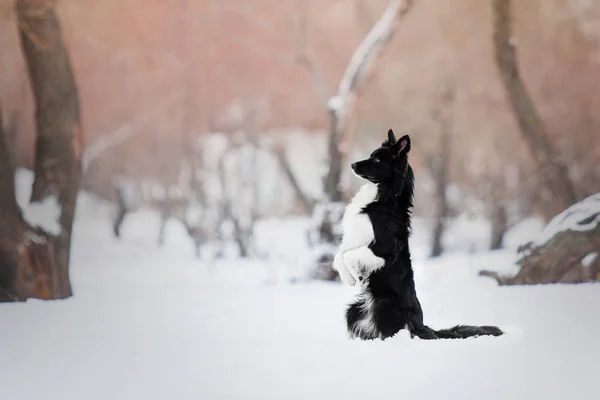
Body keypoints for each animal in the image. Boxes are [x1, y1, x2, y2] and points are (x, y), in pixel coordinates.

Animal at [330, 129, 504, 340]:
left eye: (377, 160)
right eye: (371, 156)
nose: (353, 165)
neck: (383, 199)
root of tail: (422, 326)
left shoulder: (384, 249)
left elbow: (348, 256)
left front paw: (355, 275)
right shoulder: (351, 240)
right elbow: (339, 256)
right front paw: (349, 277)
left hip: (384, 305)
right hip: (353, 311)